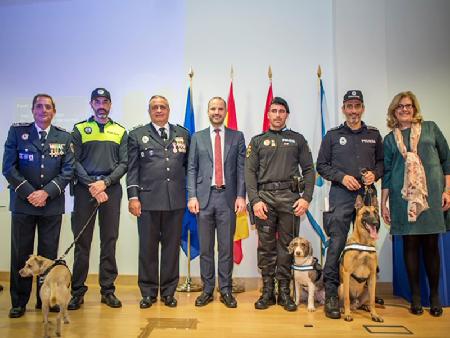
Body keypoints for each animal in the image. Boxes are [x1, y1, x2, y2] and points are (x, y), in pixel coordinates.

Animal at [338, 193, 384, 322]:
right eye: (366, 213)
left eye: (376, 213)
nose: (376, 223)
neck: (364, 243)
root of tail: (356, 302)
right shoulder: (347, 272)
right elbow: (346, 299)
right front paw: (347, 314)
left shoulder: (372, 275)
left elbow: (373, 300)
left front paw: (375, 314)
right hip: (341, 287)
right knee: (347, 301)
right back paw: (342, 309)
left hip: (368, 288)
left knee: (364, 302)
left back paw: (366, 307)